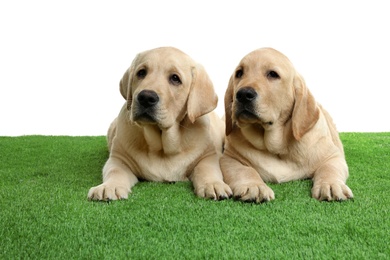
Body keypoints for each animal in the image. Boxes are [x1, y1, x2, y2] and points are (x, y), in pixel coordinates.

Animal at [88, 46, 232, 201]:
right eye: (141, 73)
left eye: (175, 78)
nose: (146, 97)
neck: (162, 148)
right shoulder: (119, 158)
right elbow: (115, 171)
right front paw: (109, 186)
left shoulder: (208, 156)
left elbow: (207, 169)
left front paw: (213, 184)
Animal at [222, 48, 354, 203]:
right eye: (239, 73)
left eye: (273, 74)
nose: (243, 94)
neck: (276, 148)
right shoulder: (229, 158)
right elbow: (244, 170)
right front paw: (254, 186)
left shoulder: (333, 156)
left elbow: (329, 169)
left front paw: (331, 184)